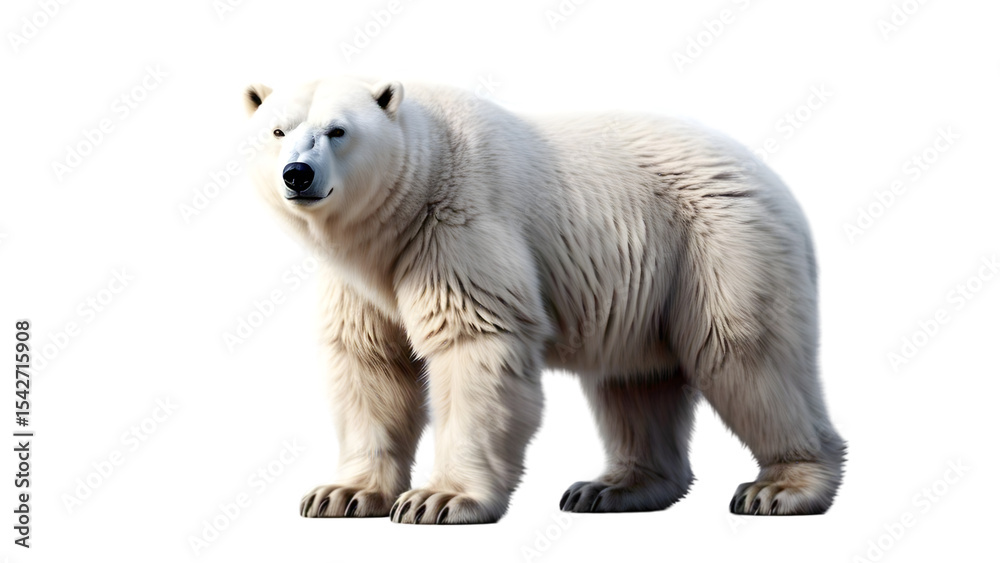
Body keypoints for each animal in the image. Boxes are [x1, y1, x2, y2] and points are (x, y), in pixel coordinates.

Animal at [242, 76, 845, 524]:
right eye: (277, 129)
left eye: (337, 130)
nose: (297, 174)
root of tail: (774, 181)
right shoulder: (361, 282)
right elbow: (371, 364)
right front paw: (340, 495)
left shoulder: (458, 227)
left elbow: (475, 344)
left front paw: (440, 499)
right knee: (635, 382)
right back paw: (608, 488)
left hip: (719, 248)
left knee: (746, 355)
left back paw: (781, 487)